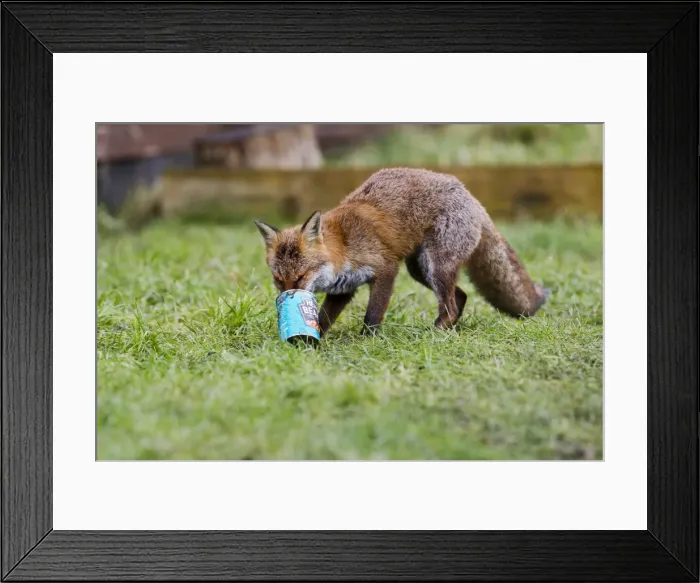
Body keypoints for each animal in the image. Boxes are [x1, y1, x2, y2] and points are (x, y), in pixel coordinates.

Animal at [254, 167, 550, 337]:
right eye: (278, 280)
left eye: (301, 276)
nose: (287, 298)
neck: (345, 245)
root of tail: (470, 195)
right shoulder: (344, 289)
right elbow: (324, 319)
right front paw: (310, 341)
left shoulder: (386, 270)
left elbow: (373, 315)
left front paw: (368, 341)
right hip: (420, 269)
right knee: (461, 297)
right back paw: (450, 330)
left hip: (436, 265)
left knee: (451, 303)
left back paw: (435, 333)